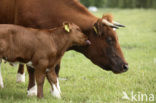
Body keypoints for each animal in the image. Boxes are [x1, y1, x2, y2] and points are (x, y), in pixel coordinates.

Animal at [0, 0, 128, 96]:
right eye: (109, 39)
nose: (125, 66)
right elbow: (31, 68)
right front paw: (32, 90)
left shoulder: (58, 47)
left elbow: (55, 69)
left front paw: (55, 91)